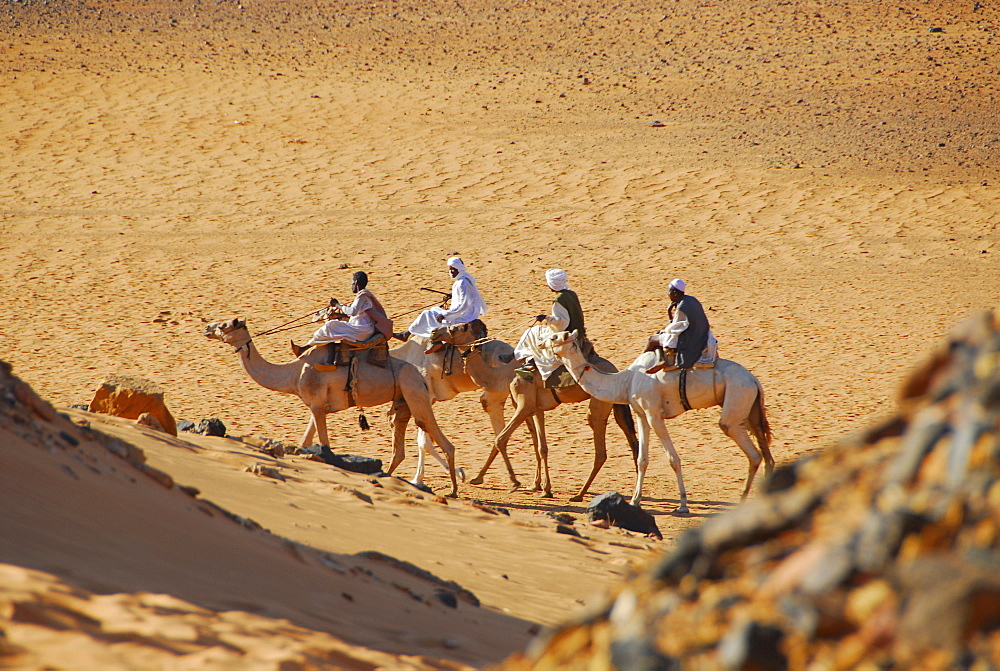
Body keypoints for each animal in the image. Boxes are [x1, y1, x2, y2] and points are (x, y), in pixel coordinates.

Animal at [203, 320, 460, 498]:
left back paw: (454, 490)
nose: (207, 327)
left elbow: (324, 446)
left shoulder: (317, 406)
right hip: (403, 400)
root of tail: (420, 375)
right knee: (401, 444)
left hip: (414, 391)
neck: (293, 373)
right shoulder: (316, 407)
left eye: (226, 325)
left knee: (436, 434)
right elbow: (305, 442)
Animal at [548, 330, 772, 516]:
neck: (626, 381)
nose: (543, 343)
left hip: (736, 400)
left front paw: (682, 505)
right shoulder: (641, 414)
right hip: (750, 411)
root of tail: (754, 380)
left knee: (752, 453)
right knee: (765, 453)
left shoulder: (654, 414)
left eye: (555, 337)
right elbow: (642, 459)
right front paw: (635, 501)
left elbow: (673, 459)